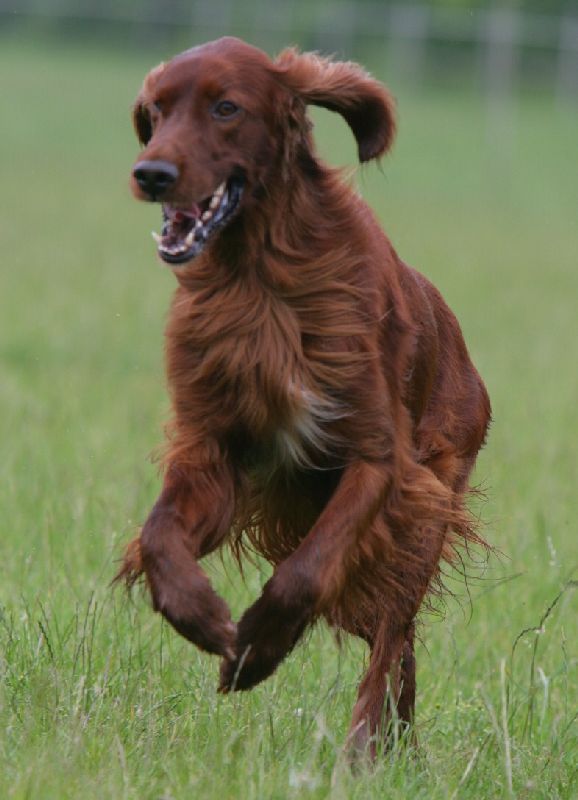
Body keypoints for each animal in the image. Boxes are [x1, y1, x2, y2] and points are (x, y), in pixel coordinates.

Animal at [117, 36, 491, 756]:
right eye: (157, 109)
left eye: (226, 107)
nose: (150, 174)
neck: (259, 274)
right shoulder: (214, 454)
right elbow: (158, 537)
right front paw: (202, 616)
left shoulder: (379, 463)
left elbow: (307, 573)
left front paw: (257, 648)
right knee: (395, 643)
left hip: (426, 509)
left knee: (392, 635)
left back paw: (365, 749)